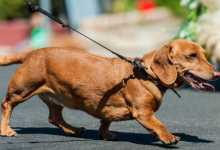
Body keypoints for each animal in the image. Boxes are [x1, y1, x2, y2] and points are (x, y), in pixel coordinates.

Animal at [0, 39, 220, 145]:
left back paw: (73, 130)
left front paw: (106, 134)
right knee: (6, 105)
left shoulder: (107, 109)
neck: (146, 73)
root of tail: (30, 53)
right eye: (192, 56)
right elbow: (159, 125)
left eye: (204, 55)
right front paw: (168, 137)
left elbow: (105, 121)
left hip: (56, 97)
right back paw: (6, 130)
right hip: (22, 90)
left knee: (54, 117)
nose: (217, 74)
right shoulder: (144, 113)